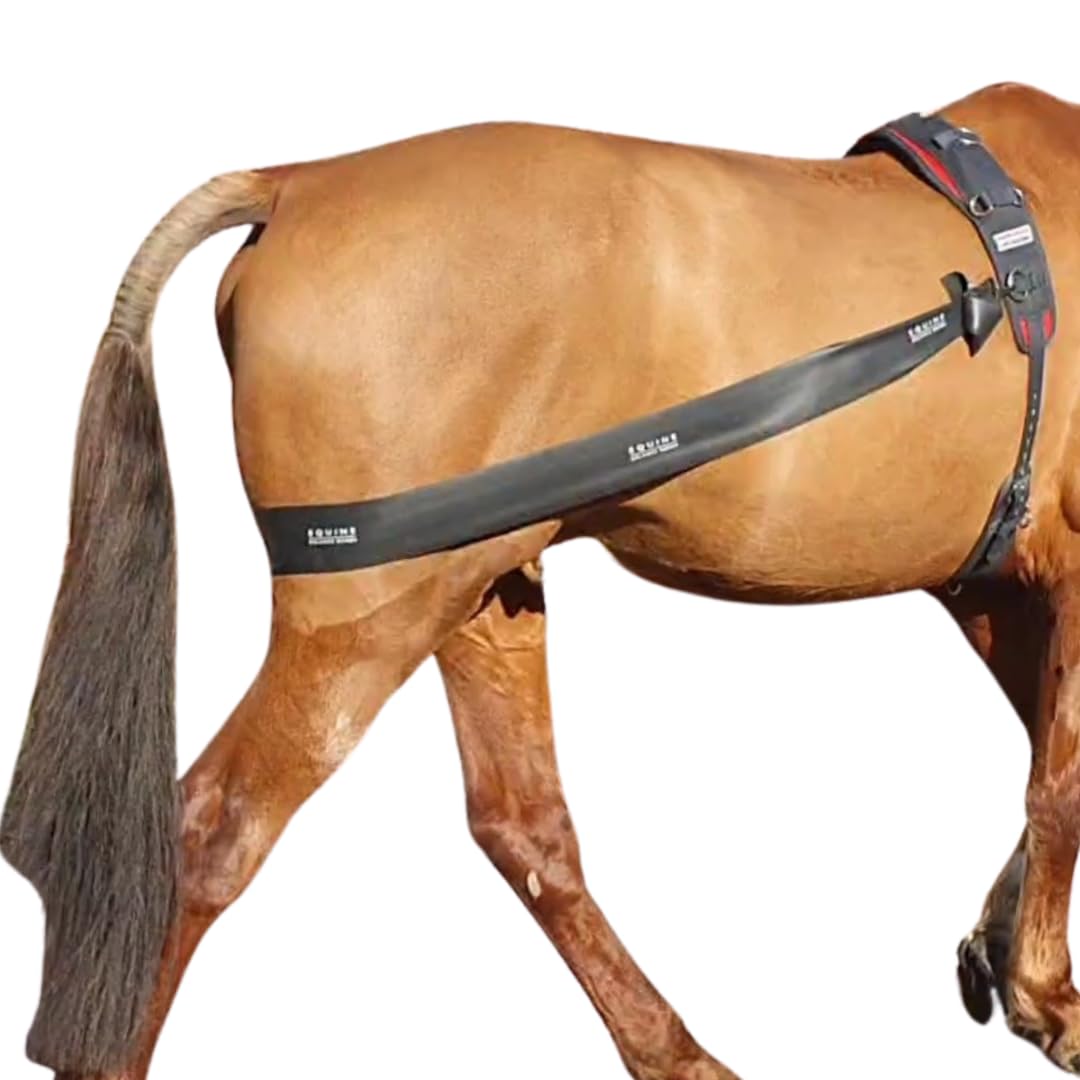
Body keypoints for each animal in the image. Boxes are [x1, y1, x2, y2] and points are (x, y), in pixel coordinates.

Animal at [3, 81, 1080, 1080]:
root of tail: (301, 184)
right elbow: (1059, 779)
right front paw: (1045, 996)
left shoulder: (995, 589)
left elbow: (1041, 757)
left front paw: (999, 954)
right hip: (366, 623)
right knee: (207, 836)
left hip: (476, 593)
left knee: (523, 827)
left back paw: (674, 1050)